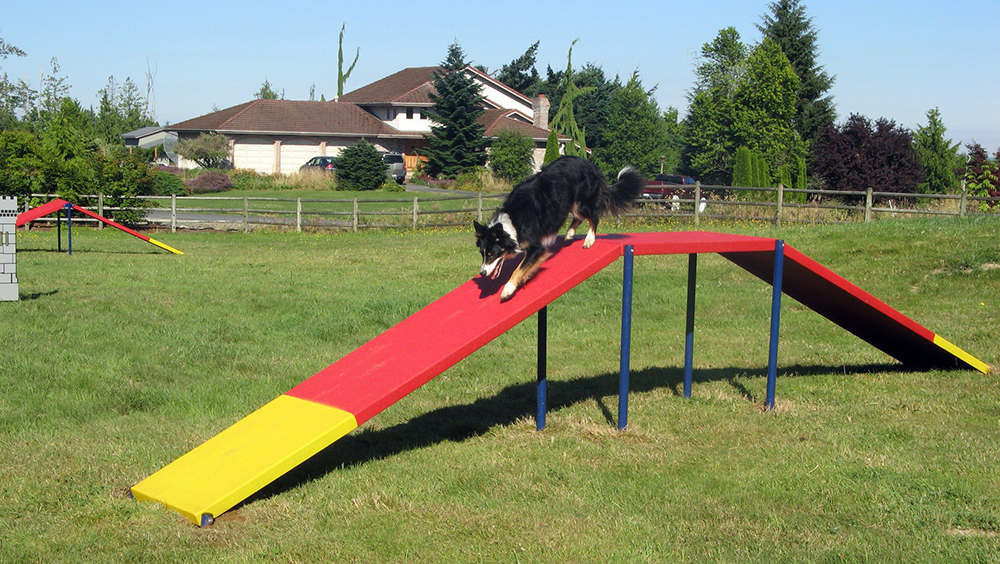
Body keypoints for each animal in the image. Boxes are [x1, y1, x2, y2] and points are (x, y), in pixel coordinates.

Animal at [474, 155, 644, 300]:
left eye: (492, 254)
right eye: (482, 254)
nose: (482, 273)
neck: (512, 221)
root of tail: (589, 164)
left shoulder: (536, 247)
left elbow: (519, 268)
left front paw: (508, 289)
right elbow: (525, 267)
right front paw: (521, 281)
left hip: (580, 203)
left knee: (594, 217)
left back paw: (589, 239)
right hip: (567, 204)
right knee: (578, 218)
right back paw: (569, 233)